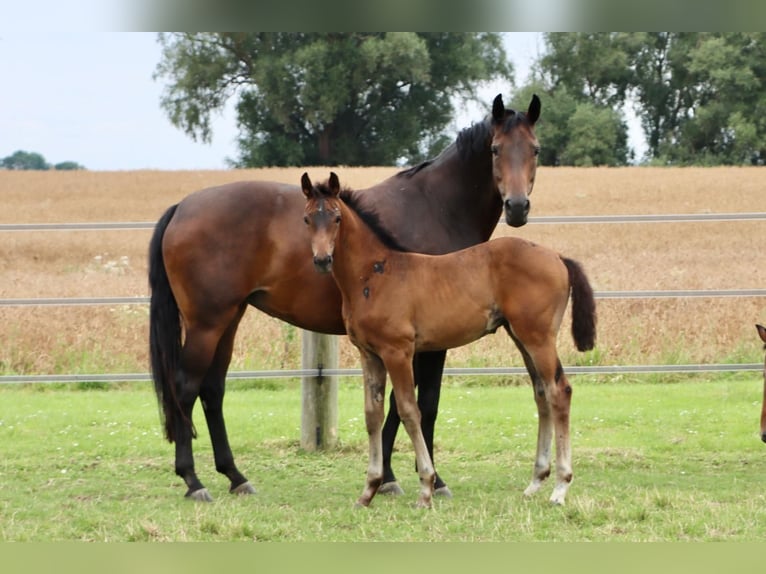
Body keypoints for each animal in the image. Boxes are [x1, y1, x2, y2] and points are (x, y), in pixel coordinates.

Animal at [302, 172, 600, 508]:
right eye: (307, 219)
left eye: (337, 218)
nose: (322, 259)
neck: (375, 275)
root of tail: (558, 257)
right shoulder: (369, 354)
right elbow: (372, 414)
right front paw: (368, 490)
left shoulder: (398, 351)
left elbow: (409, 410)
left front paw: (426, 489)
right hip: (522, 337)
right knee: (542, 393)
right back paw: (536, 481)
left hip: (538, 337)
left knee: (559, 391)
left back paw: (560, 487)